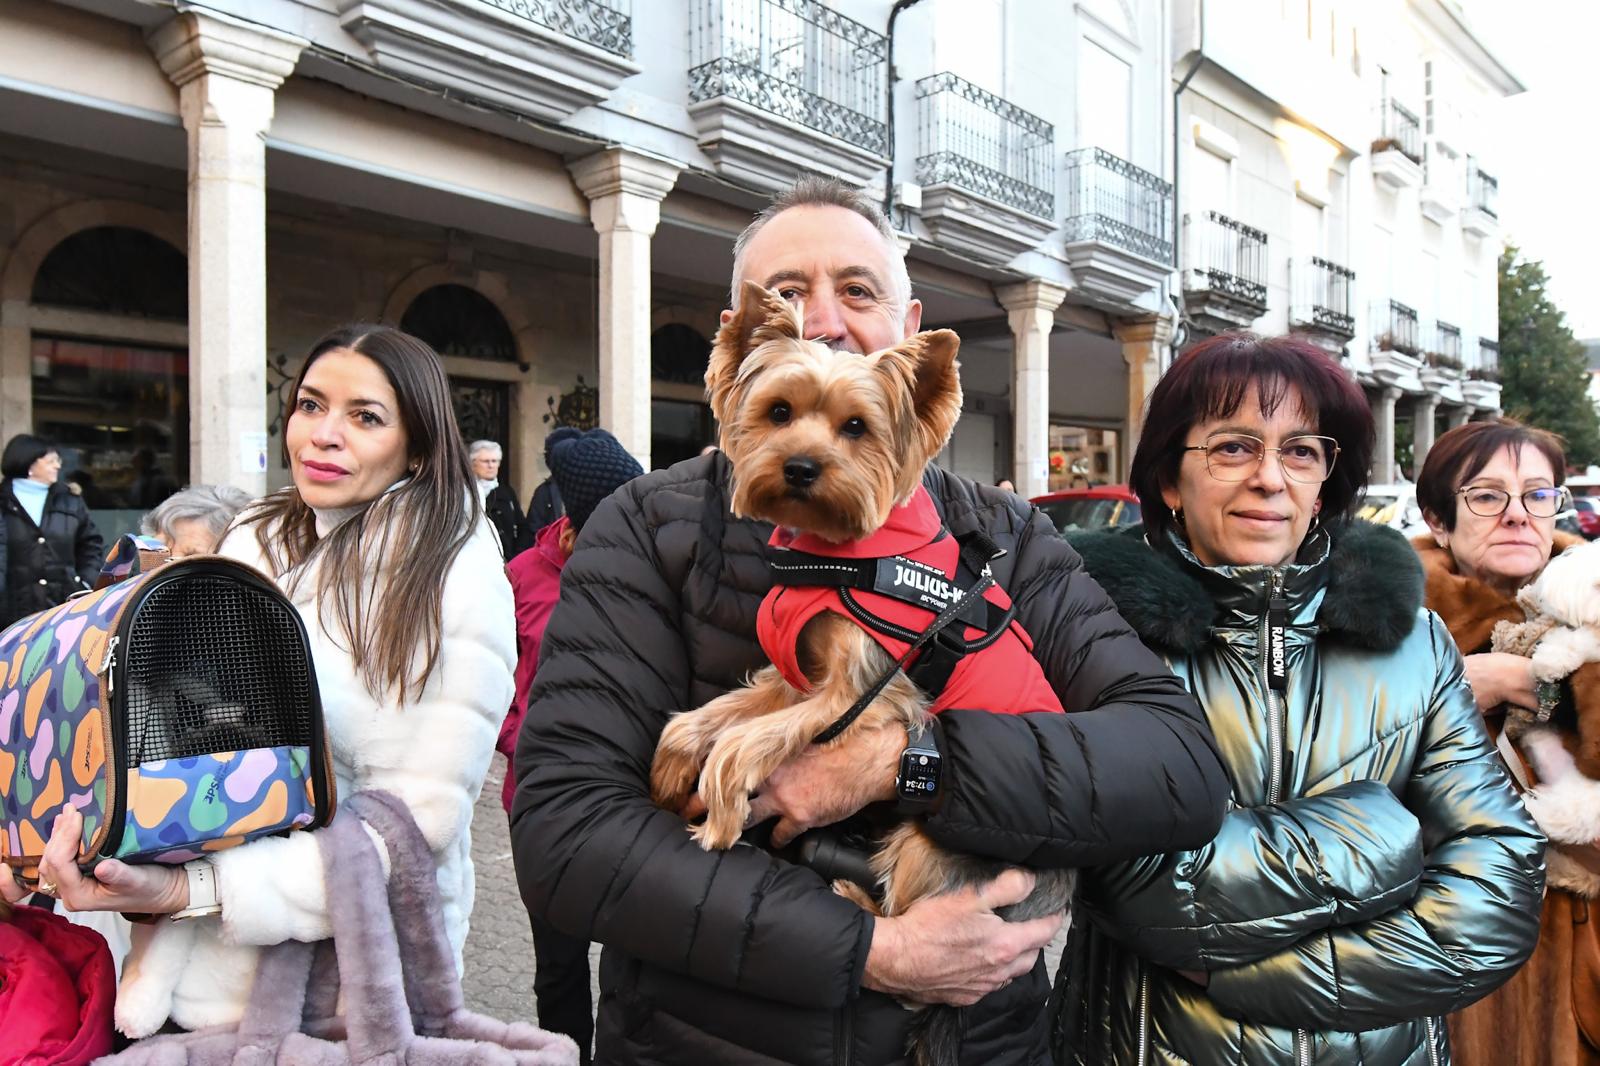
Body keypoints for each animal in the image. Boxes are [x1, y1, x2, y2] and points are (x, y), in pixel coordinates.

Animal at [649, 281, 1075, 1062]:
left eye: (855, 427)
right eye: (779, 412)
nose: (800, 467)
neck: (840, 553)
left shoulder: (863, 694)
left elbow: (742, 744)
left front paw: (719, 821)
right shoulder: (798, 676)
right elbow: (709, 719)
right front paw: (672, 768)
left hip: (929, 849)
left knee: (926, 961)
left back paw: (857, 903)